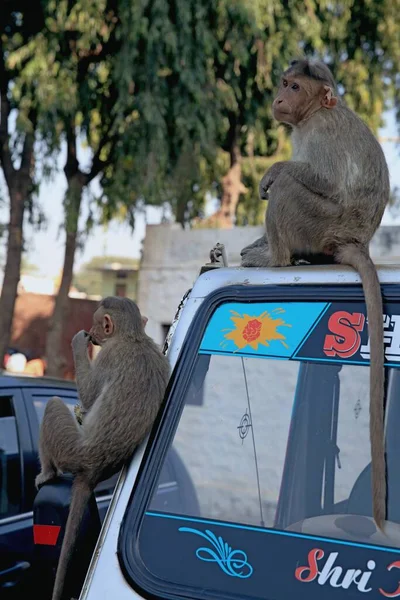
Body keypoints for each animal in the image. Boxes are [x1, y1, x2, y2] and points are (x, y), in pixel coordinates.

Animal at [34, 296, 170, 600]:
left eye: (97, 325)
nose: (92, 334)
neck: (133, 337)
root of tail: (92, 469)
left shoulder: (108, 356)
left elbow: (89, 395)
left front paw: (77, 343)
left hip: (71, 448)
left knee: (54, 405)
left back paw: (47, 473)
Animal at [241, 59, 390, 528]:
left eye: (294, 87)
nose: (278, 98)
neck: (311, 116)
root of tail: (353, 240)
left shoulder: (319, 132)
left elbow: (319, 177)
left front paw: (274, 169)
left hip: (322, 223)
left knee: (292, 189)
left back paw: (275, 257)